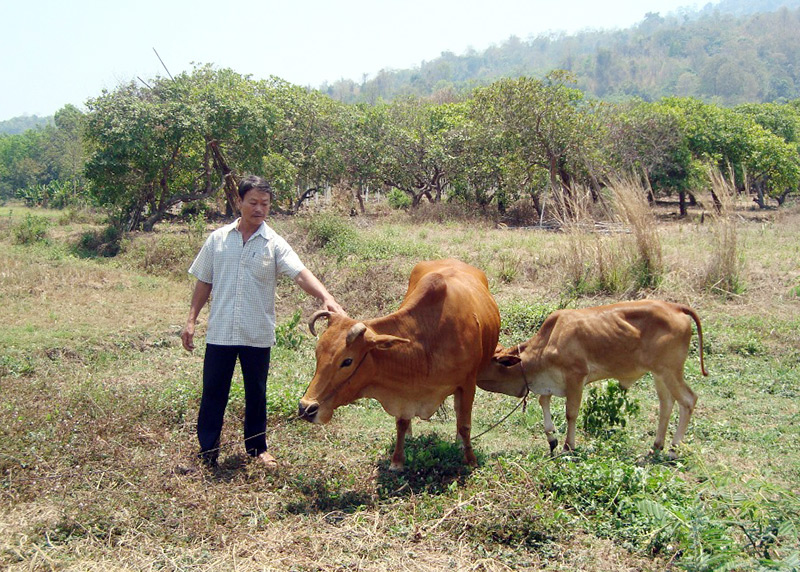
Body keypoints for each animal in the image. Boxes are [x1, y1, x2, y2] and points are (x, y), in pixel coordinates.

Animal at [300, 260, 500, 470]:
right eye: (317, 354)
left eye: (347, 361)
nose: (305, 408)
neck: (427, 342)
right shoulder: (403, 390)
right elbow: (402, 423)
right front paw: (397, 461)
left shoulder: (468, 384)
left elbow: (464, 425)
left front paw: (471, 460)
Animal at [476, 300, 708, 456]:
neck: (547, 343)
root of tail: (675, 307)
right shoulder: (550, 382)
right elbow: (543, 401)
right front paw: (552, 438)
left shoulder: (576, 377)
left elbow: (571, 413)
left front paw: (568, 446)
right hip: (659, 373)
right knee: (666, 404)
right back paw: (657, 445)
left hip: (670, 370)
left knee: (688, 400)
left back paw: (673, 449)